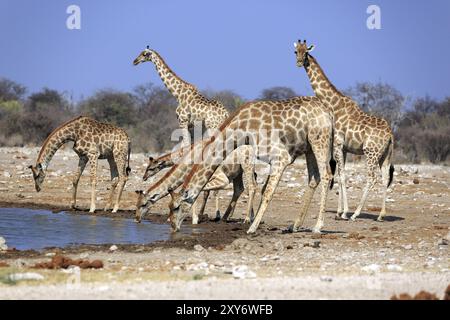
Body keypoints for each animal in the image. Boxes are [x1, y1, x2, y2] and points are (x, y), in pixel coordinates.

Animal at [168, 96, 334, 234]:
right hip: (309, 147)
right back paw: (294, 226)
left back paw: (317, 226)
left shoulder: (281, 156)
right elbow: (262, 188)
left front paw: (252, 227)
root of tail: (328, 112)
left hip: (319, 140)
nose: (173, 227)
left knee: (326, 175)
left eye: (176, 207)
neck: (240, 127)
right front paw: (253, 221)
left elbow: (267, 191)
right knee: (314, 178)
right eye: (169, 207)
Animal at [296, 39, 394, 222]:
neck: (333, 105)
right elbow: (341, 175)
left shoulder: (337, 145)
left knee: (372, 178)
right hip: (385, 155)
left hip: (370, 152)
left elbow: (341, 176)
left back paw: (356, 214)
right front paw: (340, 211)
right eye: (295, 51)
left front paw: (344, 212)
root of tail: (391, 135)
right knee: (385, 178)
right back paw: (381, 215)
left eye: (306, 52)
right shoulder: (344, 148)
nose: (298, 62)